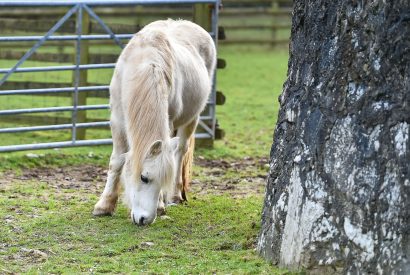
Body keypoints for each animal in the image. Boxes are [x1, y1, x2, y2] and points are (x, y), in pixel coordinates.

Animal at [92, 19, 215, 226]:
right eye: (144, 178)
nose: (145, 220)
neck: (143, 65)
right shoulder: (117, 120)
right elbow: (116, 161)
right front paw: (104, 205)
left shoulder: (169, 121)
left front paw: (160, 205)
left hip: (192, 118)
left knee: (180, 151)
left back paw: (175, 196)